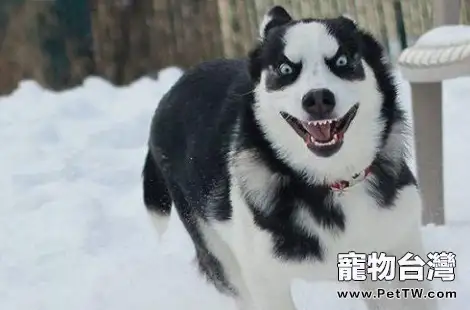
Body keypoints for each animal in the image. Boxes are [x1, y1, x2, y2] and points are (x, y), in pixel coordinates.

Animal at [141, 5, 438, 310]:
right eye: (285, 69)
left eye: (342, 60)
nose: (318, 99)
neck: (331, 182)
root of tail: (170, 93)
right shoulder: (263, 278)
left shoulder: (399, 246)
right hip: (218, 252)